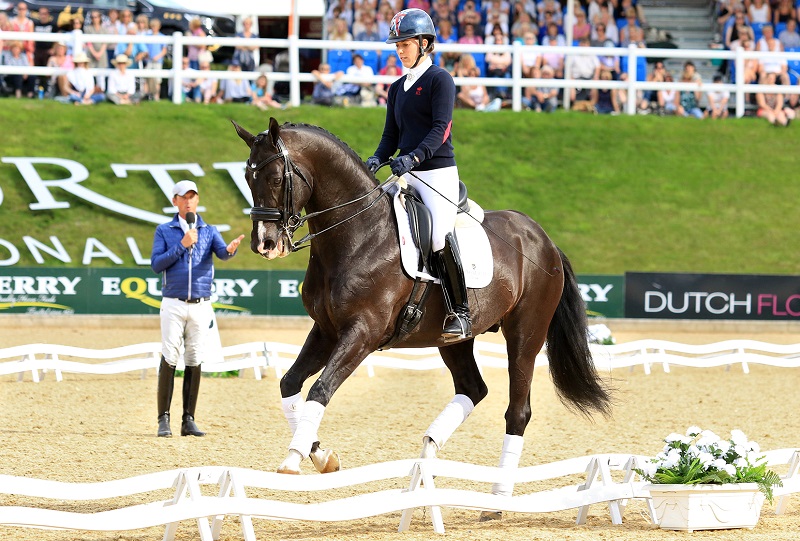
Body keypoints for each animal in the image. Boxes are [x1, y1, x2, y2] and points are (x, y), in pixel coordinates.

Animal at [233, 118, 612, 494]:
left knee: (518, 410)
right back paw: (426, 464)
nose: (264, 243)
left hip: (526, 335)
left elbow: (321, 388)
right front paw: (321, 456)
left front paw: (293, 459)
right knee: (473, 388)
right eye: (249, 178)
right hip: (455, 339)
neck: (358, 233)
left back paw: (499, 494)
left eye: (277, 178)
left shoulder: (362, 333)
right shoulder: (326, 330)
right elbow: (290, 383)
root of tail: (543, 239)